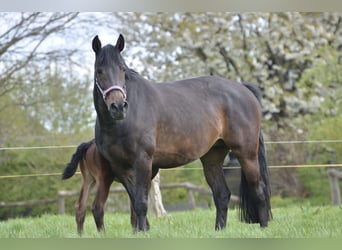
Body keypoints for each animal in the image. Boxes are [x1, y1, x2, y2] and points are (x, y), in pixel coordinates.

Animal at [91, 34, 272, 231]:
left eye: (122, 69)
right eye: (99, 71)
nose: (118, 107)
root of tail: (244, 89)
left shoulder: (143, 161)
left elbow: (140, 203)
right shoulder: (120, 167)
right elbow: (134, 201)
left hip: (246, 153)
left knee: (259, 189)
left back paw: (263, 228)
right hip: (212, 157)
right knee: (222, 194)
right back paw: (219, 230)